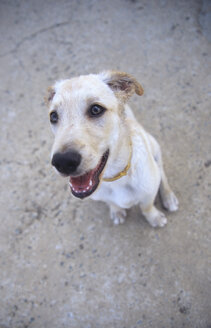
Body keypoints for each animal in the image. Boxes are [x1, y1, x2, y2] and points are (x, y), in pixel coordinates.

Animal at [45, 70, 179, 227]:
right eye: (53, 116)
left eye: (96, 109)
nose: (63, 162)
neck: (114, 177)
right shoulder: (102, 196)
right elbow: (112, 203)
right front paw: (116, 211)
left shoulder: (148, 193)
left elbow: (147, 207)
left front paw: (154, 217)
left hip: (155, 147)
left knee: (161, 171)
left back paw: (169, 197)